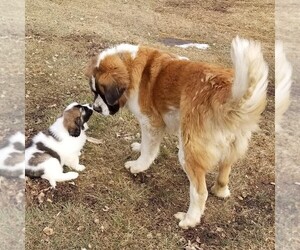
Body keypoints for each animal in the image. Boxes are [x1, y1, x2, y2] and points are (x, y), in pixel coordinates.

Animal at [85, 37, 268, 229]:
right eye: (94, 92)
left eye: (102, 93)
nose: (96, 108)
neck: (131, 65)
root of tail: (226, 95)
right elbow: (145, 143)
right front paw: (139, 147)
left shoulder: (152, 122)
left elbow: (149, 150)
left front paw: (138, 165)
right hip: (232, 147)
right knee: (225, 171)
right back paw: (220, 190)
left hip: (188, 151)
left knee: (199, 192)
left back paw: (189, 219)